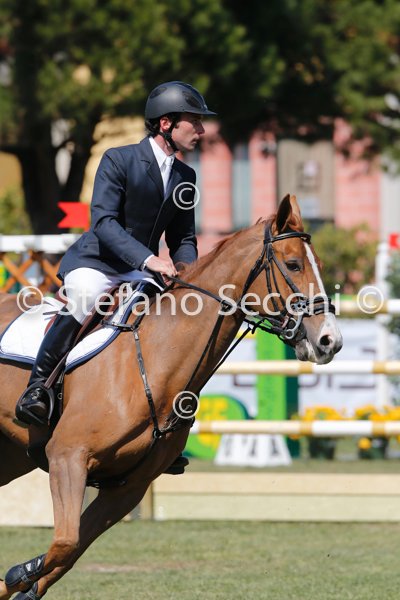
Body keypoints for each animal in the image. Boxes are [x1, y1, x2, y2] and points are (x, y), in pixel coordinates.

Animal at [0, 194, 342, 599]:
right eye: (292, 264)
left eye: (319, 265)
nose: (330, 340)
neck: (155, 360)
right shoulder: (68, 457)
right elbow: (65, 543)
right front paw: (19, 573)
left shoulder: (127, 488)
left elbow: (69, 550)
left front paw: (22, 581)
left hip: (10, 458)